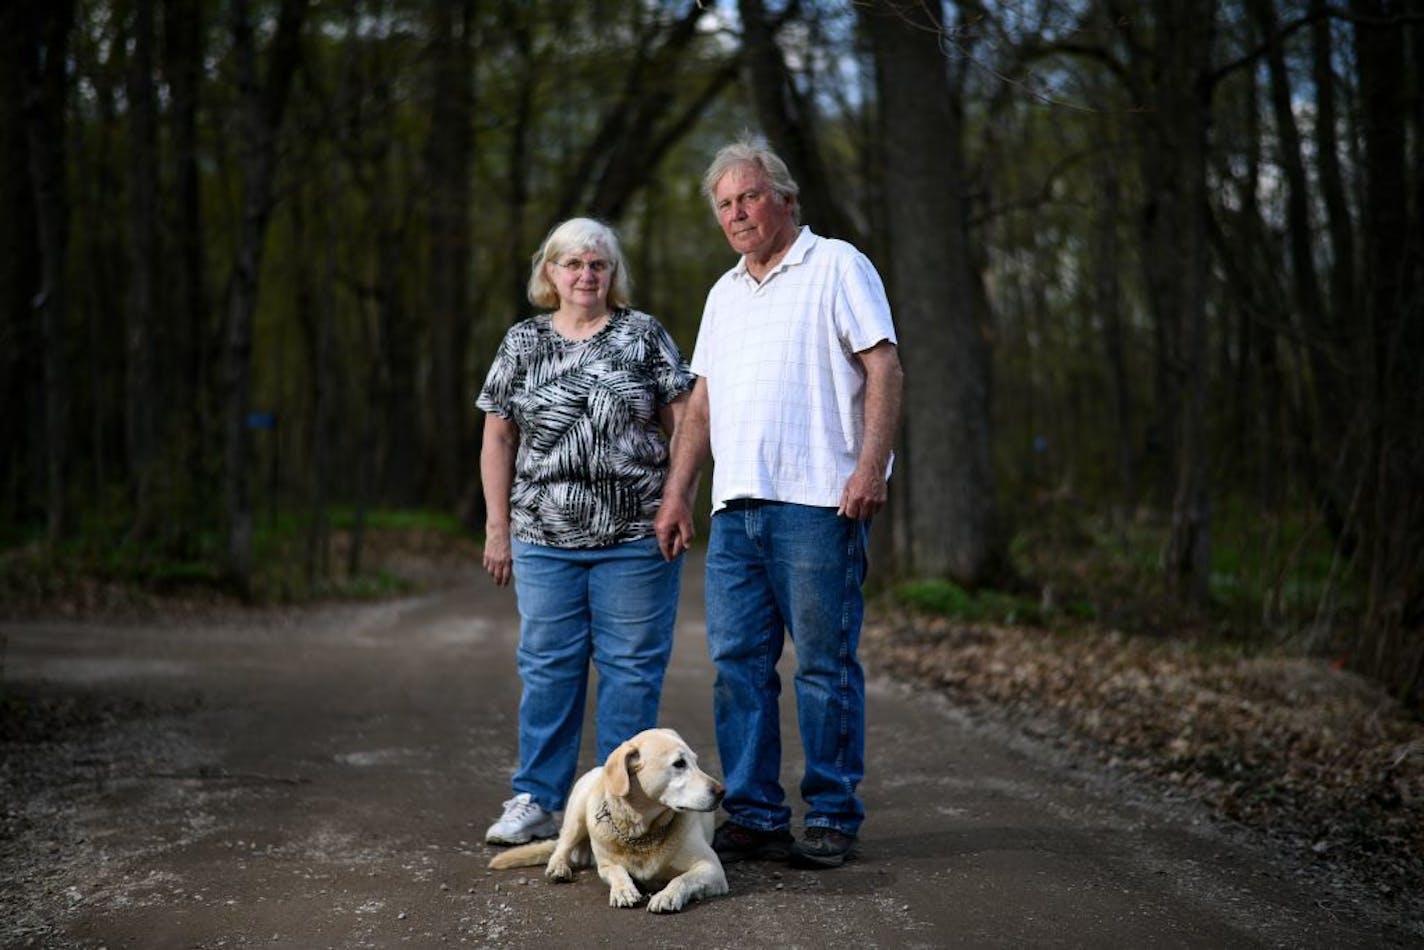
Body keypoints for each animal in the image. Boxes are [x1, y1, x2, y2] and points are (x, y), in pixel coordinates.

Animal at [492, 729, 734, 911]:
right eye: (679, 764)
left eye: (696, 762)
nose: (721, 792)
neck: (642, 831)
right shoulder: (606, 864)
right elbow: (617, 871)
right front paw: (624, 890)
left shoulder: (711, 868)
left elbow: (682, 879)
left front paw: (667, 896)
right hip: (578, 811)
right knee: (562, 846)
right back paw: (558, 867)